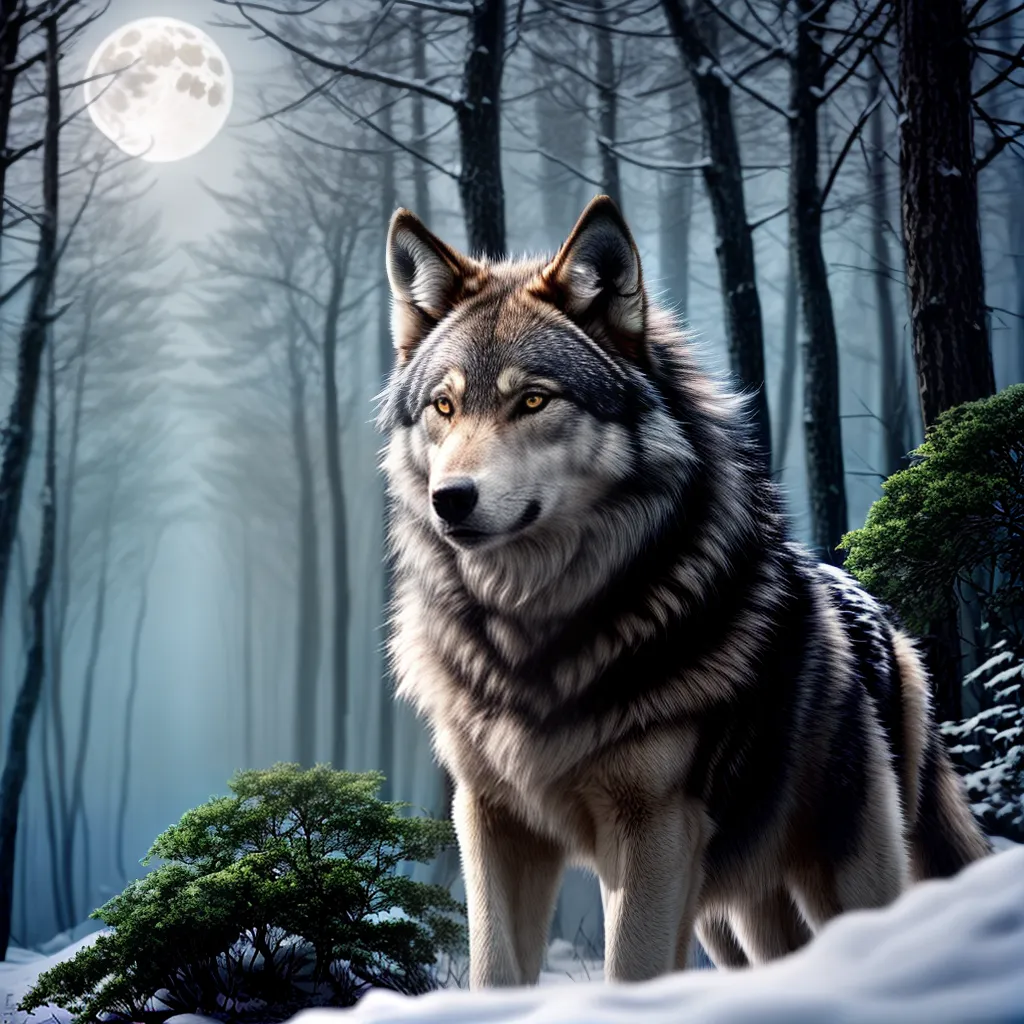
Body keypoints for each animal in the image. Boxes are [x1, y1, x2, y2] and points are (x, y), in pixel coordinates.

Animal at [376, 195, 990, 988]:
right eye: (444, 407)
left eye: (534, 400)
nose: (450, 500)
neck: (535, 635)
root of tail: (878, 614)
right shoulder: (491, 818)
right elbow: (494, 972)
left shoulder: (653, 827)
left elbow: (631, 971)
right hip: (731, 919)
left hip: (843, 880)